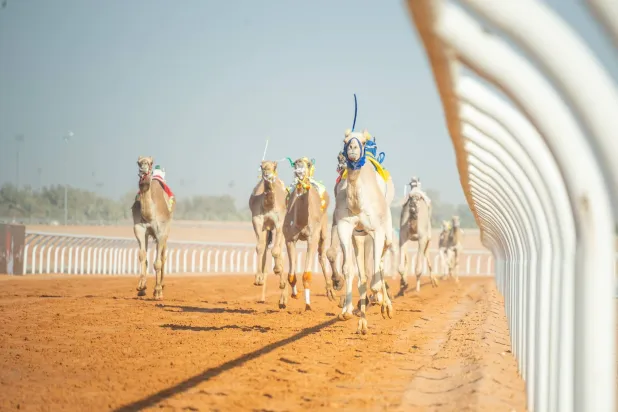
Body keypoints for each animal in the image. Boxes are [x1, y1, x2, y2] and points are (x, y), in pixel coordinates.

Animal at [132, 154, 174, 300]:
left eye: (150, 162)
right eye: (138, 162)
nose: (143, 169)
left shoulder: (161, 233)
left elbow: (157, 263)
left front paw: (157, 291)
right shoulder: (139, 229)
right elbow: (142, 256)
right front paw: (141, 287)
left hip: (166, 233)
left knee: (163, 258)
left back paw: (161, 287)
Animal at [248, 161, 286, 302]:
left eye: (274, 166)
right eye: (262, 166)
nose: (267, 174)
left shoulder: (280, 222)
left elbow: (276, 251)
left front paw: (277, 269)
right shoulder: (257, 221)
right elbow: (259, 247)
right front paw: (258, 278)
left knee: (281, 250)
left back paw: (282, 292)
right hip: (267, 229)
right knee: (265, 247)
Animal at [282, 157, 334, 308]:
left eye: (309, 164)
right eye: (295, 163)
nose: (299, 171)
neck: (300, 221)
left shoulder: (312, 238)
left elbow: (306, 275)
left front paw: (308, 305)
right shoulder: (289, 239)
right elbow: (291, 275)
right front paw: (294, 294)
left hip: (323, 230)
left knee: (322, 255)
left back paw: (330, 291)